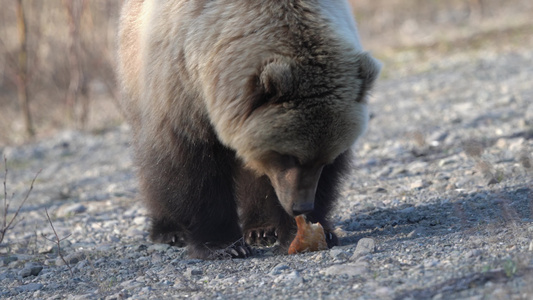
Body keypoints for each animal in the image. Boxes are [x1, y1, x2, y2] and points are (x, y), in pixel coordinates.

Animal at [118, 0, 380, 258]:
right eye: (288, 156)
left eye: (325, 159)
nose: (302, 206)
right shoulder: (182, 87)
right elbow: (191, 166)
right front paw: (223, 245)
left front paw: (313, 232)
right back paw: (170, 231)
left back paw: (261, 229)